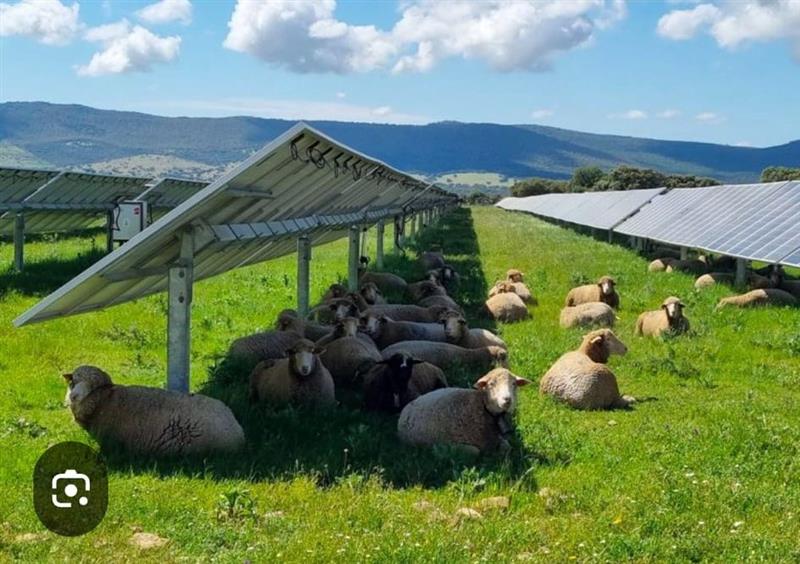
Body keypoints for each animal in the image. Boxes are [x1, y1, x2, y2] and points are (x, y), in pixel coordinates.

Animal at [396, 368, 532, 456]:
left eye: (514, 384)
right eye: (491, 384)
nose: (507, 399)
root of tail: (405, 411)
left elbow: (507, 447)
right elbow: (476, 451)